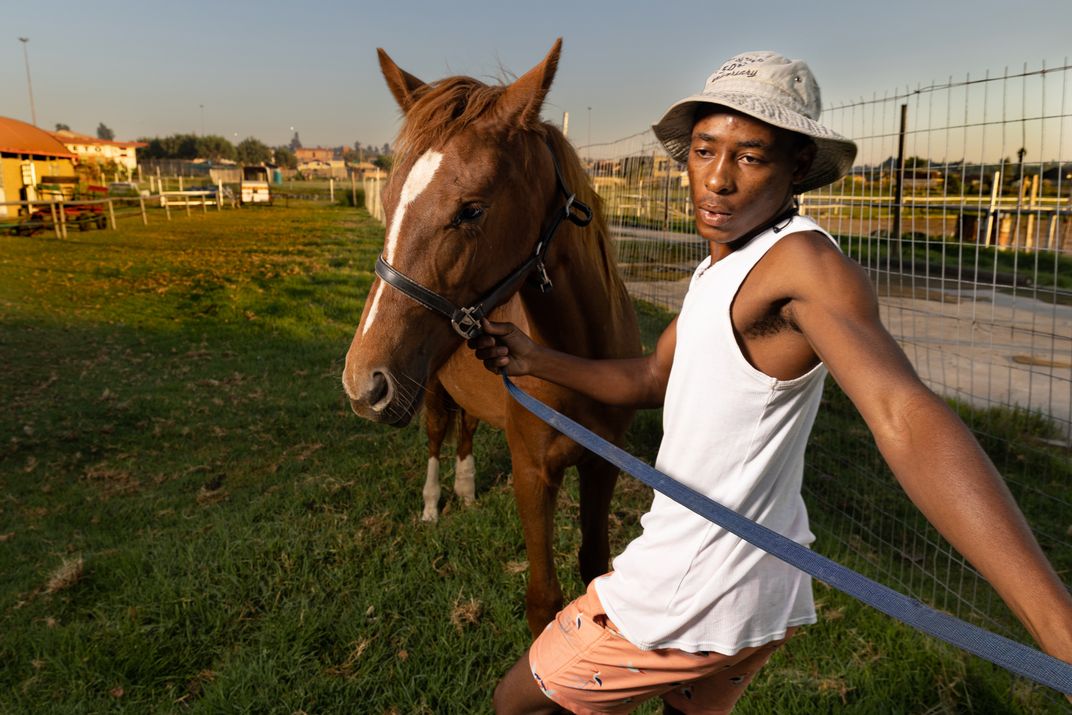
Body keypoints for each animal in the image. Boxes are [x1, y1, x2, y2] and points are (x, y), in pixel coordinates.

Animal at [340, 39, 634, 634]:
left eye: (471, 209)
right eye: (389, 203)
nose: (363, 384)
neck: (583, 361)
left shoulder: (602, 466)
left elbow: (594, 568)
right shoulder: (531, 474)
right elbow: (543, 599)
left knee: (467, 430)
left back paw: (467, 490)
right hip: (427, 391)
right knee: (436, 436)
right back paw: (434, 504)